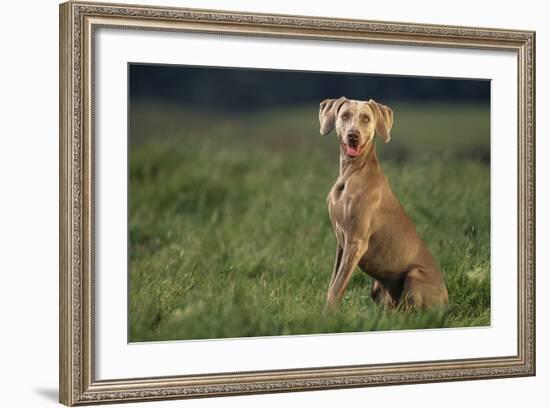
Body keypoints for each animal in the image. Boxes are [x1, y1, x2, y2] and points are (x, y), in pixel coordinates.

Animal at [322, 97, 450, 310]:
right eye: (345, 115)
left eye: (366, 118)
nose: (353, 135)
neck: (353, 172)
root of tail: (448, 302)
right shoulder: (341, 242)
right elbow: (333, 282)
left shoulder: (355, 242)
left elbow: (336, 288)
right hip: (377, 287)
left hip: (414, 276)